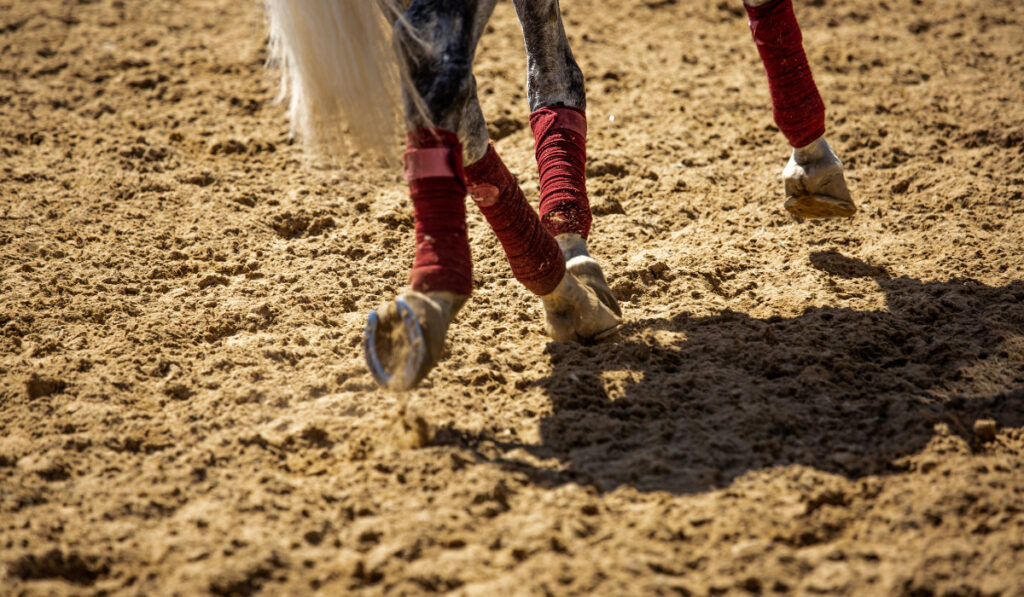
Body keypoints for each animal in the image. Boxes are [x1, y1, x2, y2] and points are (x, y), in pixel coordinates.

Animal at [264, 0, 856, 393]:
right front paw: (813, 159)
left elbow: (547, 82)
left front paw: (572, 254)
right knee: (447, 86)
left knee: (458, 107)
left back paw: (556, 291)